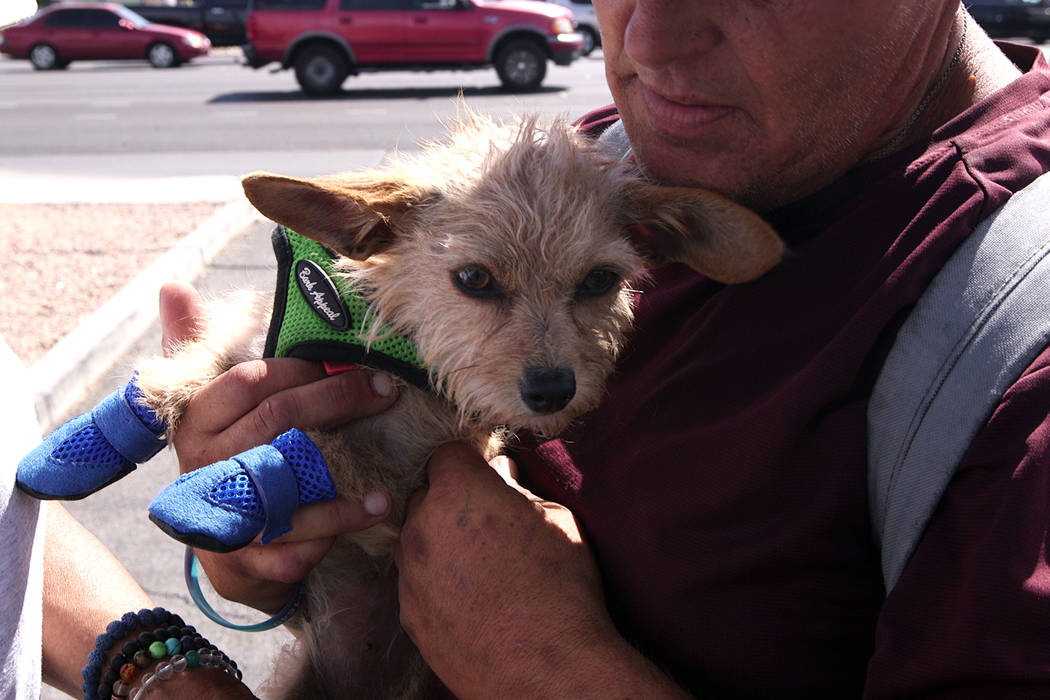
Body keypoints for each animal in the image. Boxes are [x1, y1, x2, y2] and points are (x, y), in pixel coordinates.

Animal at [131, 112, 785, 696]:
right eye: (474, 279)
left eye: (599, 280)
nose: (552, 390)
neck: (394, 354)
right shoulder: (258, 346)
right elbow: (206, 368)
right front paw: (142, 408)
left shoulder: (403, 493)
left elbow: (322, 448)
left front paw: (221, 491)